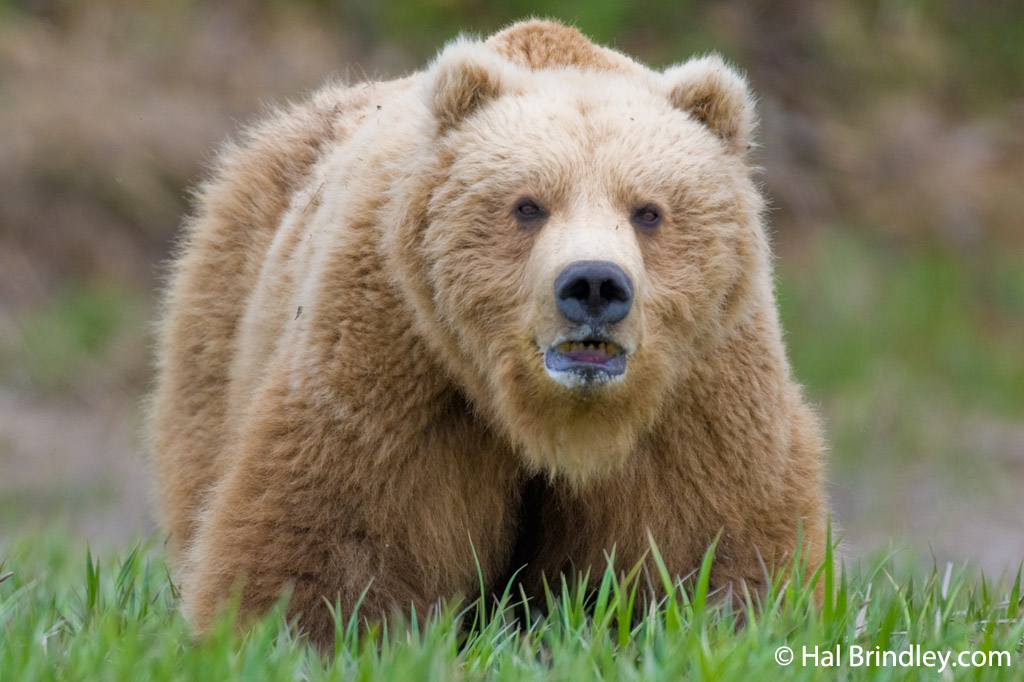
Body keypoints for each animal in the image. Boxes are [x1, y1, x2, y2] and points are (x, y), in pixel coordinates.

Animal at [149, 18, 823, 647]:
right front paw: (299, 629)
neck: (556, 418)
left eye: (648, 210)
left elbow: (713, 539)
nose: (595, 284)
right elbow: (337, 528)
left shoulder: (699, 388)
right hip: (226, 308)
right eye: (528, 205)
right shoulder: (399, 351)